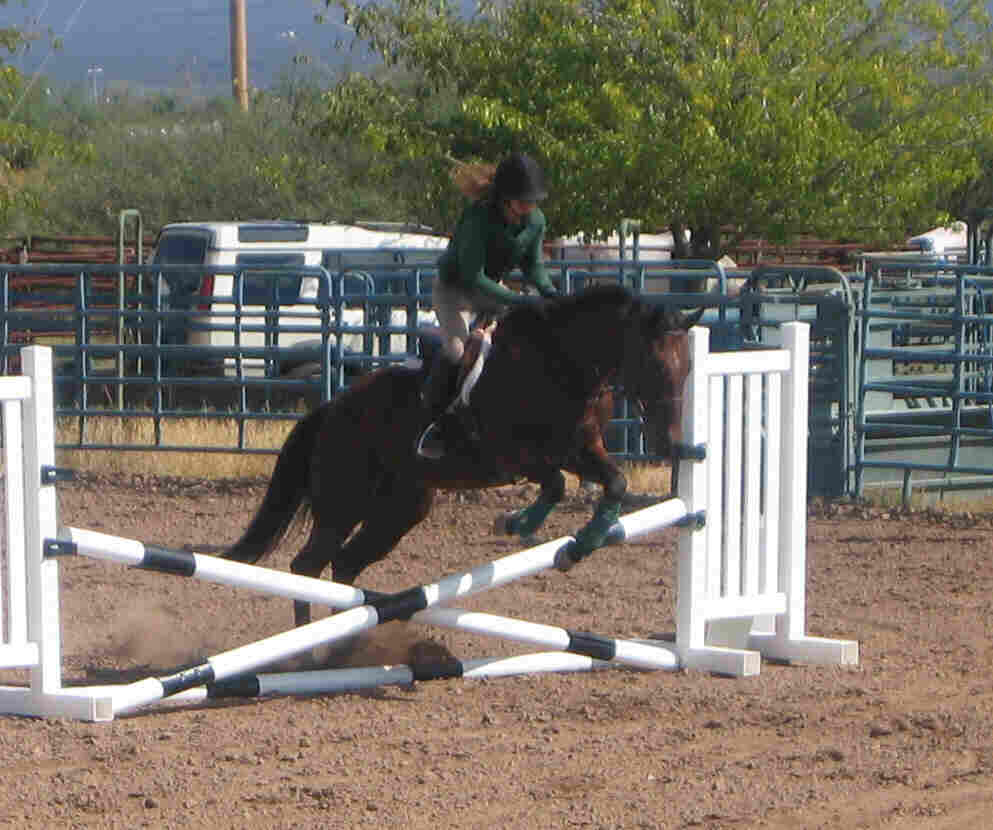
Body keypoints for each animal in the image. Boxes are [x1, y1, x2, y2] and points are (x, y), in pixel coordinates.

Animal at [221, 284, 696, 624]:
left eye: (688, 367)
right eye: (655, 365)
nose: (669, 442)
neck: (561, 366)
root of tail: (330, 410)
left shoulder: (582, 449)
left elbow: (614, 481)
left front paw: (576, 544)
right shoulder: (516, 456)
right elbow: (558, 483)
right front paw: (520, 524)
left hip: (400, 510)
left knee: (344, 565)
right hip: (344, 503)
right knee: (308, 566)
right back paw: (311, 647)